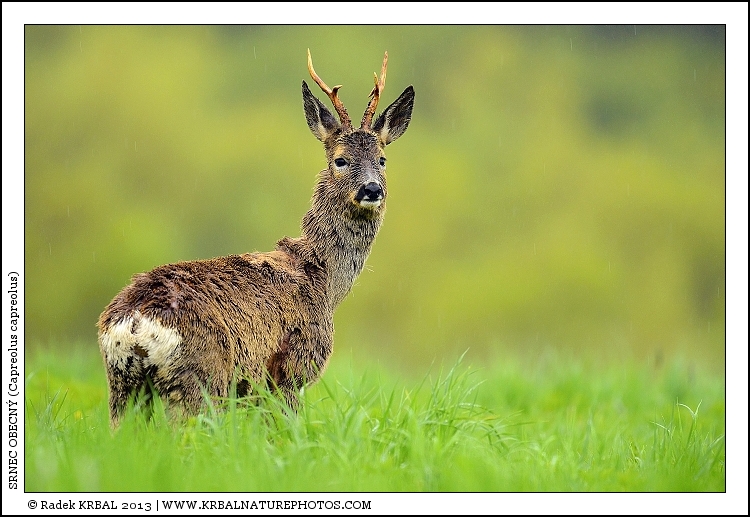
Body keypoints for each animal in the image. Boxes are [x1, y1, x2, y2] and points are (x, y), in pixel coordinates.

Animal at [97, 50, 415, 426]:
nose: (372, 189)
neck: (323, 278)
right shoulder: (291, 368)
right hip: (201, 377)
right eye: (340, 160)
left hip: (124, 387)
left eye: (382, 159)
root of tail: (133, 324)